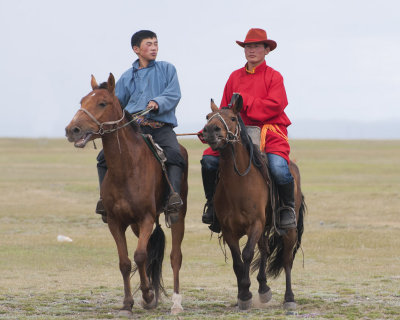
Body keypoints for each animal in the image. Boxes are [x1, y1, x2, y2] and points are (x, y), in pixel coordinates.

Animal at [65, 74, 188, 316]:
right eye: (82, 101)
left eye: (102, 103)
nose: (72, 130)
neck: (127, 167)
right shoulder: (116, 222)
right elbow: (125, 262)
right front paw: (129, 303)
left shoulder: (146, 217)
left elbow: (140, 255)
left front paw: (148, 295)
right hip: (135, 225)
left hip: (177, 215)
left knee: (175, 256)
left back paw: (176, 303)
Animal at [203, 95, 306, 310]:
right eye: (208, 116)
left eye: (233, 118)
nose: (210, 130)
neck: (238, 183)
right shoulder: (228, 229)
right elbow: (237, 260)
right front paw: (243, 294)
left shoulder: (255, 224)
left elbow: (247, 254)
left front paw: (245, 293)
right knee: (265, 249)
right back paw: (263, 288)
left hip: (289, 229)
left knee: (287, 259)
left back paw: (289, 298)